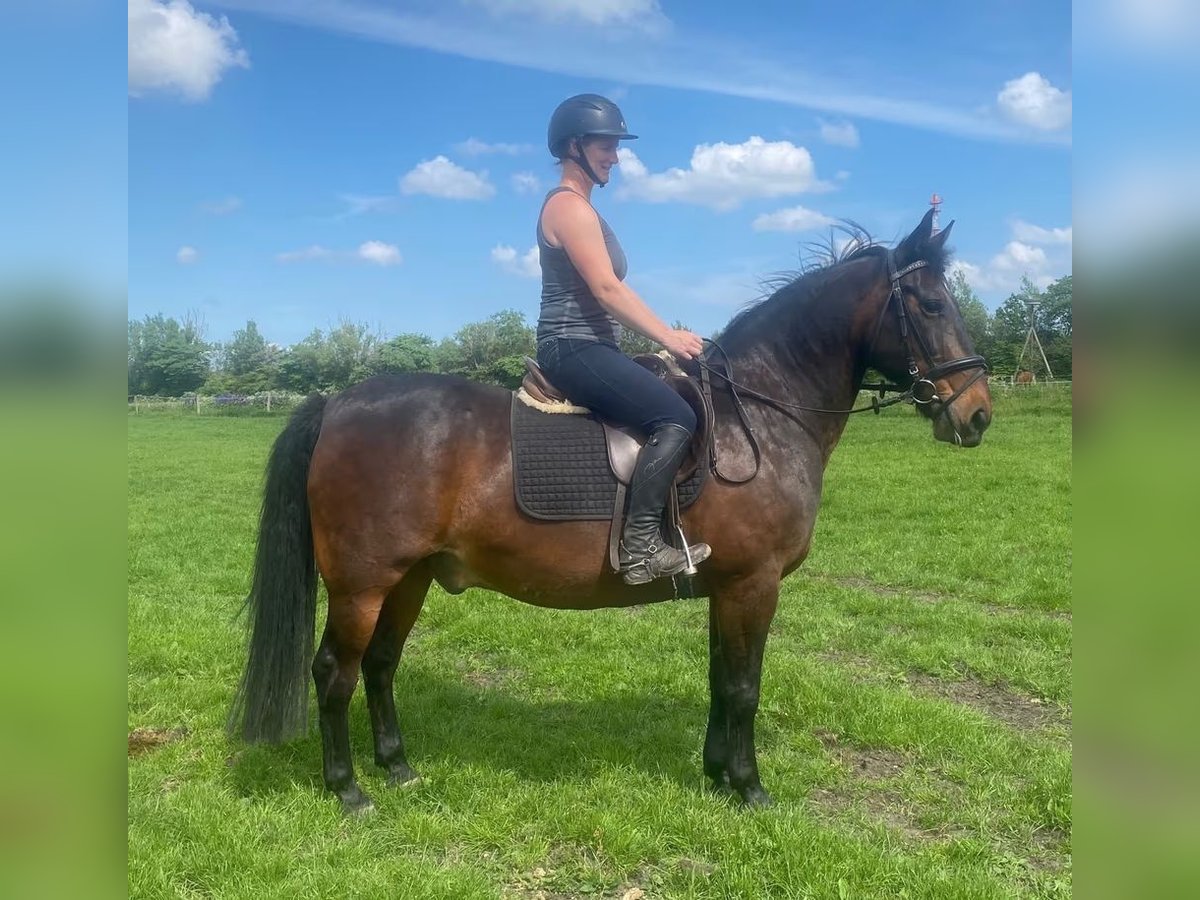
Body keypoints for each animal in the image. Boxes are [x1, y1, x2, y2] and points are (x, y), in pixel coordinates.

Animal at [226, 211, 993, 816]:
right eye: (930, 304)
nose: (978, 414)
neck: (758, 415)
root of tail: (340, 402)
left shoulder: (726, 586)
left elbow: (720, 680)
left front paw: (716, 773)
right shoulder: (754, 584)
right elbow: (744, 686)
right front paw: (749, 788)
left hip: (409, 577)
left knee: (381, 665)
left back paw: (398, 767)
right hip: (362, 583)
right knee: (335, 671)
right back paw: (348, 789)